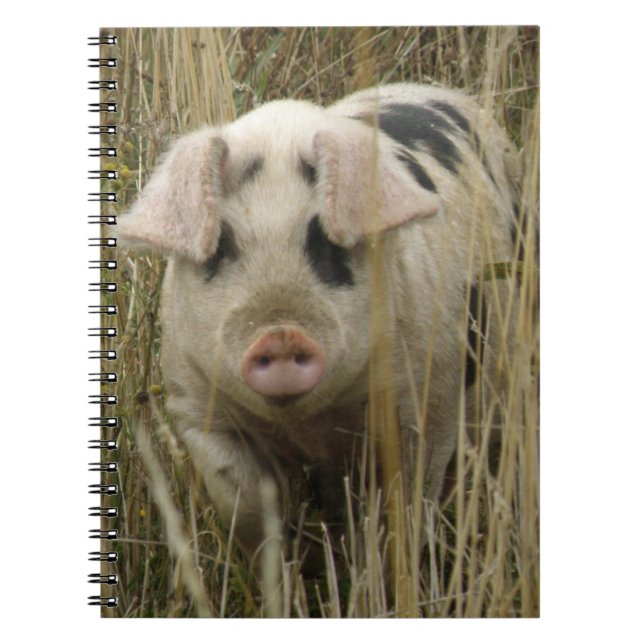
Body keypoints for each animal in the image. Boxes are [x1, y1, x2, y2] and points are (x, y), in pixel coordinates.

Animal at [118, 83, 522, 564]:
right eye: (221, 247)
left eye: (326, 240)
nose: (280, 335)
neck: (309, 426)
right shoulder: (198, 406)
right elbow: (244, 503)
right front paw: (283, 565)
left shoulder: (429, 399)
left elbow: (404, 506)